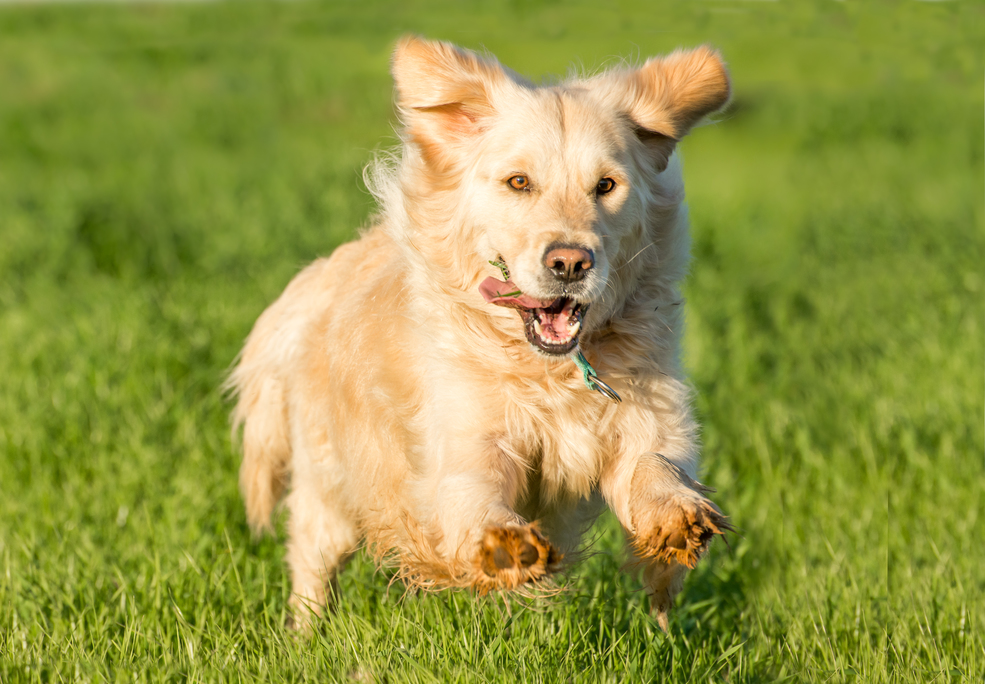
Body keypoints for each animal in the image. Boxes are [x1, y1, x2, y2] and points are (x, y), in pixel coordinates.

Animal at [229, 33, 732, 632]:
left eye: (606, 185)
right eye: (519, 182)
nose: (570, 263)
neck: (549, 371)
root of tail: (315, 278)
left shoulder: (648, 417)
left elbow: (654, 464)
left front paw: (675, 517)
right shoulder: (465, 443)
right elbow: (477, 494)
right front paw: (508, 545)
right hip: (327, 490)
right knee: (310, 567)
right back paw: (304, 636)